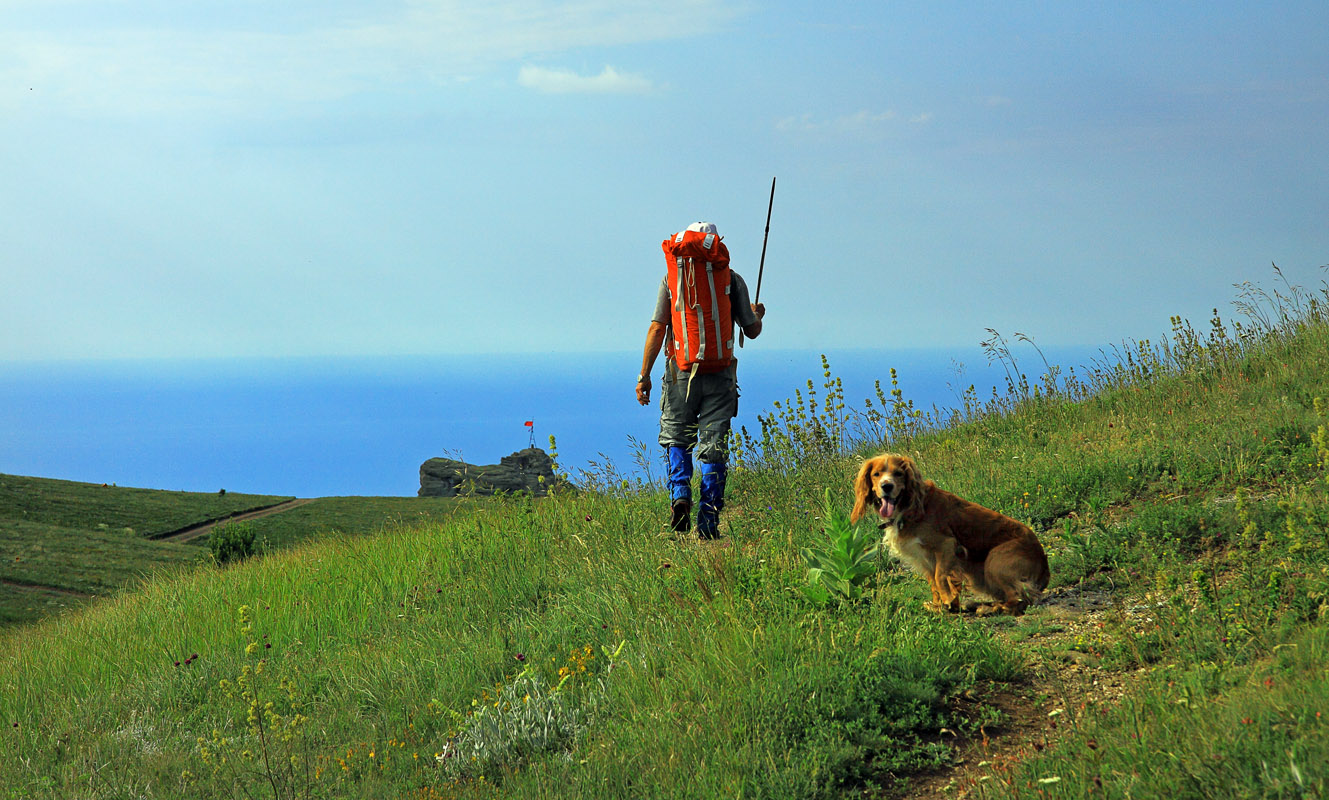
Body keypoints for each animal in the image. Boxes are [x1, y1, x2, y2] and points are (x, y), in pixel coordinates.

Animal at [850, 451, 1047, 613]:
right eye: (876, 474)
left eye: (898, 473)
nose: (887, 486)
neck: (907, 508)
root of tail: (1044, 566)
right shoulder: (924, 558)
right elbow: (933, 582)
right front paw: (939, 606)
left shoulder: (946, 545)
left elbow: (940, 576)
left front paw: (948, 600)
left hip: (995, 560)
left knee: (1021, 598)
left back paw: (991, 608)